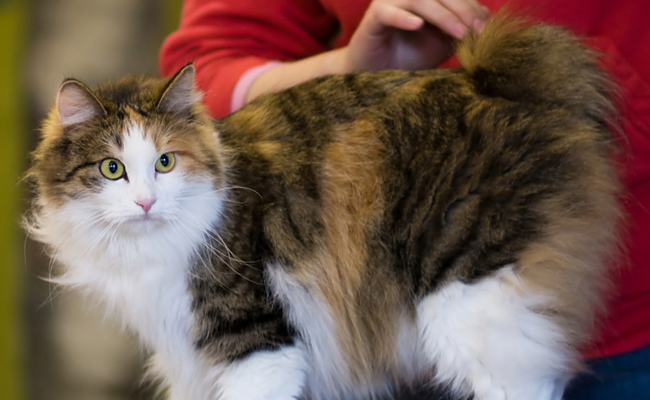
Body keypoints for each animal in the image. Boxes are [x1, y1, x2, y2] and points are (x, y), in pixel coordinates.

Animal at [27, 14, 620, 400]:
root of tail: (490, 82)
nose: (146, 201)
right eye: (112, 169)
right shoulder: (190, 358)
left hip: (469, 296)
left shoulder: (259, 342)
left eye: (166, 162)